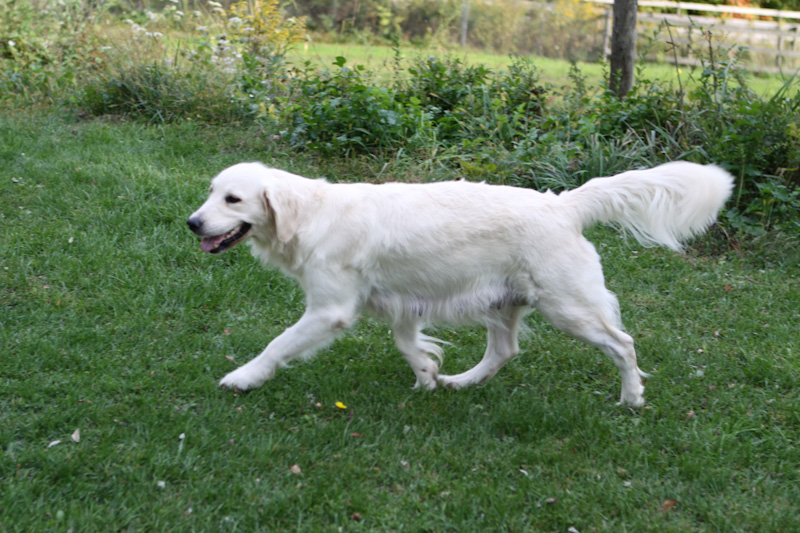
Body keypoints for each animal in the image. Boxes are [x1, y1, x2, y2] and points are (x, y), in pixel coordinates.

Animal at [188, 160, 732, 406]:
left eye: (233, 199)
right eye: (211, 192)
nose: (192, 223)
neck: (311, 215)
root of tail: (563, 203)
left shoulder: (330, 309)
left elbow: (277, 345)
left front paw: (244, 376)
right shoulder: (400, 301)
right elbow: (408, 344)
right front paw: (428, 373)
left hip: (569, 307)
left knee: (623, 343)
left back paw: (632, 397)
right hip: (503, 302)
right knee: (504, 351)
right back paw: (461, 381)